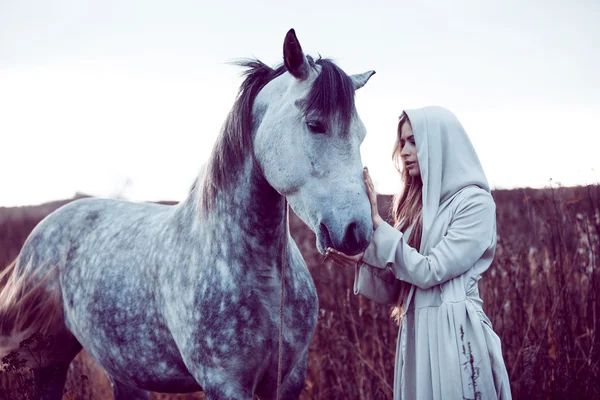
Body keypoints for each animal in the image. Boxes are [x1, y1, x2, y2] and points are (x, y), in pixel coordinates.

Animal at [0, 30, 376, 400]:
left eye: (361, 134)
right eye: (315, 124)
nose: (357, 231)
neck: (262, 276)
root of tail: (43, 232)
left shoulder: (288, 380)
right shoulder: (225, 384)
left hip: (121, 368)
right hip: (48, 360)